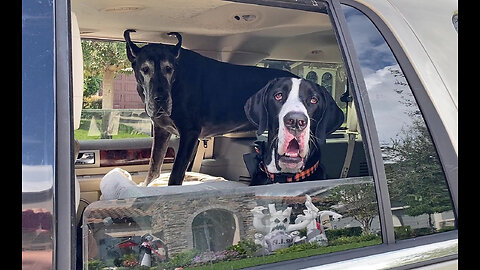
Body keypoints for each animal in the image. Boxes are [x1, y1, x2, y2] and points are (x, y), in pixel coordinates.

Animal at [124, 29, 296, 186]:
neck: (175, 82)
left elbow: (175, 175)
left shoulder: (189, 133)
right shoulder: (161, 131)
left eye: (169, 68)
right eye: (145, 69)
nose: (161, 99)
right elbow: (154, 167)